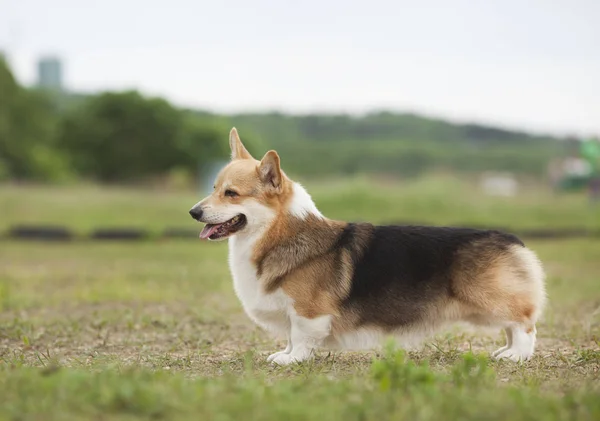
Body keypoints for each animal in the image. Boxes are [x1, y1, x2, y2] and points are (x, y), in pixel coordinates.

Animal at [190, 128, 548, 364]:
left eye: (231, 194)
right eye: (214, 188)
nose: (194, 212)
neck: (278, 232)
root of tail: (512, 240)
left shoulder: (308, 311)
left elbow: (302, 336)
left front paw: (292, 360)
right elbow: (291, 336)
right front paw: (285, 353)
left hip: (493, 301)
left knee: (524, 324)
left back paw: (516, 356)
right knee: (513, 327)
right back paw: (505, 351)